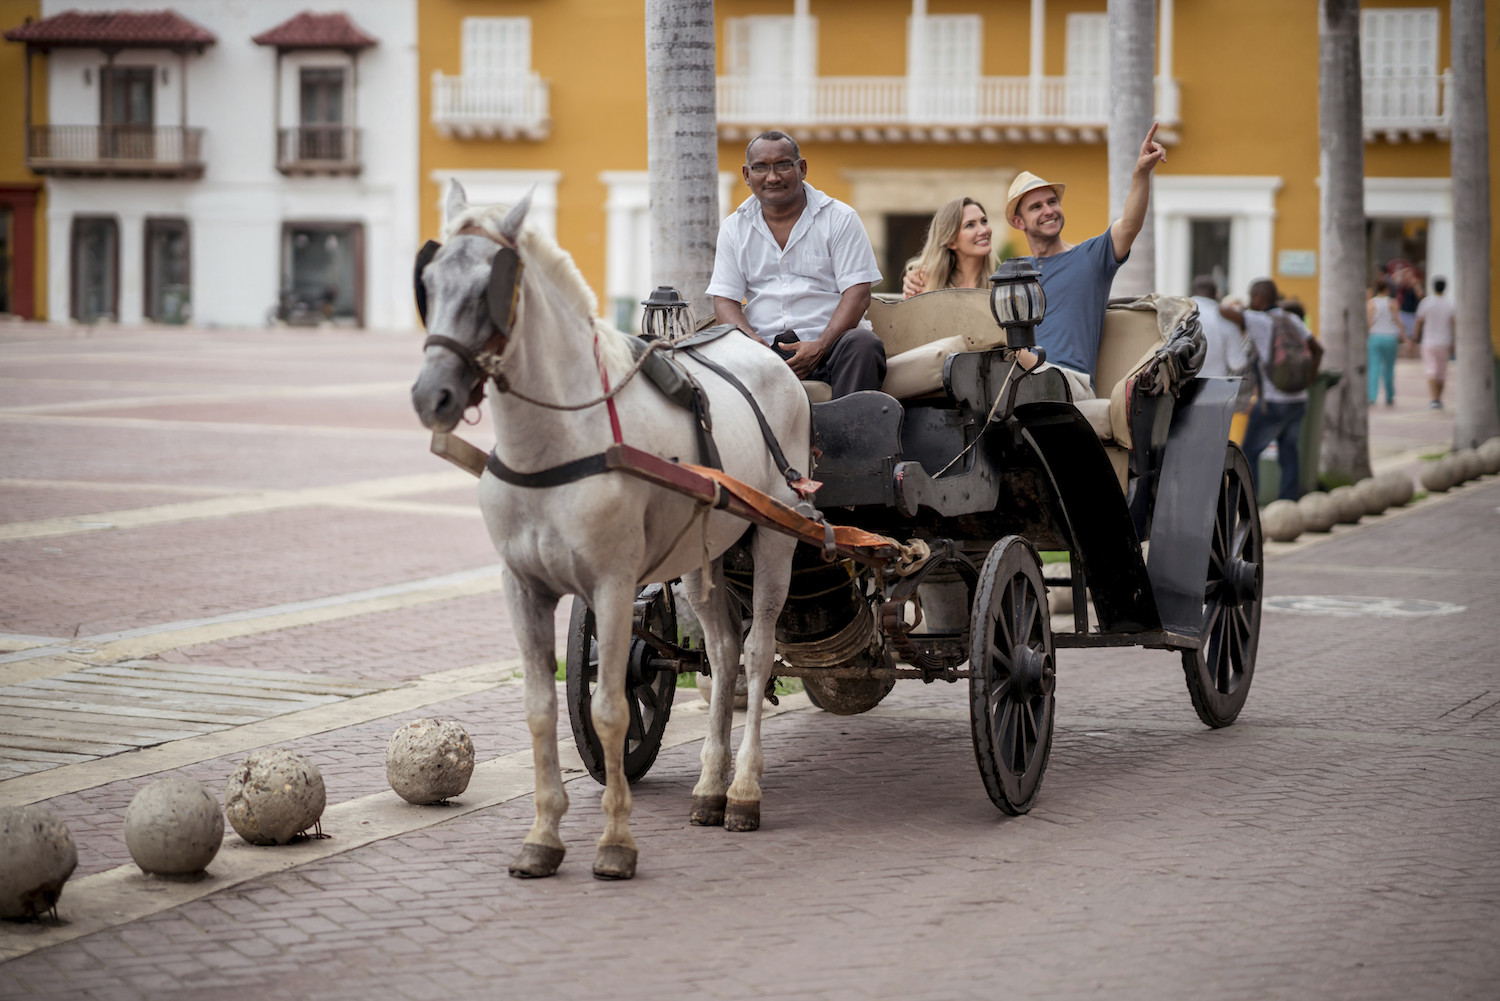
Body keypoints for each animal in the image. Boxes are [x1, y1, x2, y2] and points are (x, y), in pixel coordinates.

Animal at [411, 183, 810, 882]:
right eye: (428, 282)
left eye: (492, 286)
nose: (431, 394)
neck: (559, 442)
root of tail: (774, 355)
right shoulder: (522, 586)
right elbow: (541, 709)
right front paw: (542, 837)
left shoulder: (614, 584)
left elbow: (611, 708)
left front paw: (616, 843)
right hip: (705, 554)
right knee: (724, 653)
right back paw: (710, 788)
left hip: (776, 538)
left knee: (759, 654)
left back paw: (743, 792)